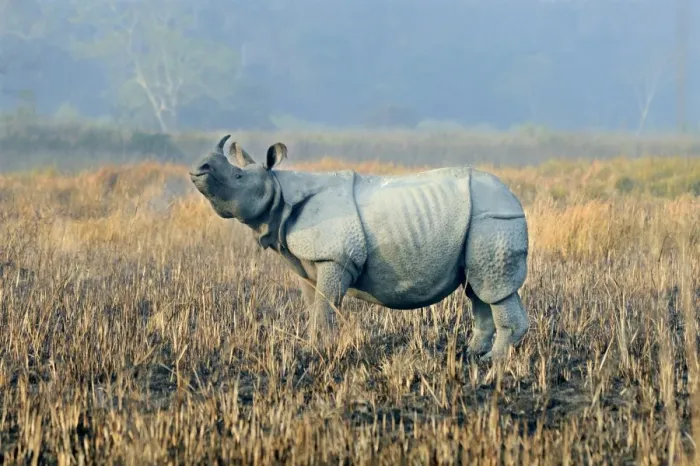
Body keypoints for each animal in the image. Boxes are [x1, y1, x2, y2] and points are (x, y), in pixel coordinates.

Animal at [189, 135, 530, 361]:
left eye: (237, 176)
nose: (198, 168)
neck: (280, 192)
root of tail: (515, 200)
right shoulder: (307, 261)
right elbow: (314, 304)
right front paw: (312, 346)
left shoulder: (334, 257)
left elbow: (325, 305)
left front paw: (314, 351)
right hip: (483, 220)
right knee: (478, 288)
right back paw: (472, 355)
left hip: (494, 220)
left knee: (493, 287)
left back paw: (492, 363)